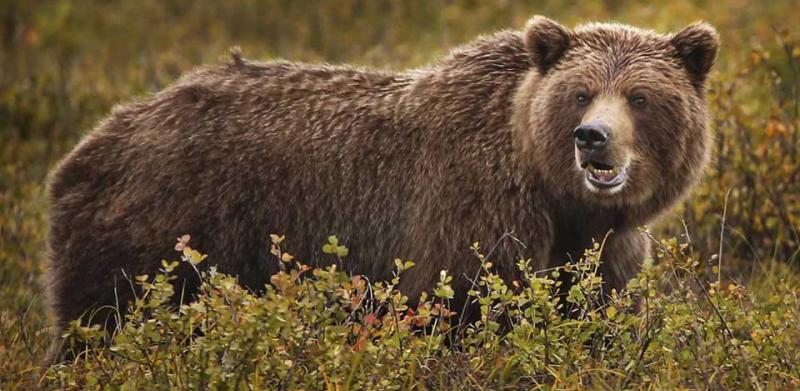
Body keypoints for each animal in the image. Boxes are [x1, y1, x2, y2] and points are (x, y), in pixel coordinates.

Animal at [45, 16, 720, 350]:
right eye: (580, 92)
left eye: (639, 97)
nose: (592, 137)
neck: (557, 194)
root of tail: (96, 137)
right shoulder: (471, 213)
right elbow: (464, 310)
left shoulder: (604, 251)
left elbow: (593, 313)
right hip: (158, 230)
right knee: (104, 322)